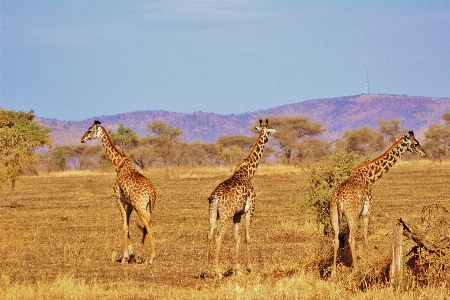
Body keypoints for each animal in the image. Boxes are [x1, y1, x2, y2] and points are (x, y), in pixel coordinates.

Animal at [80, 120, 156, 264]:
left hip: (139, 205)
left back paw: (151, 257)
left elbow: (124, 225)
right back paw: (140, 256)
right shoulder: (129, 203)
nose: (82, 139)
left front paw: (125, 257)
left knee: (147, 225)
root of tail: (151, 192)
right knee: (147, 225)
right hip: (149, 206)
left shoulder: (118, 198)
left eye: (90, 130)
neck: (118, 165)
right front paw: (131, 254)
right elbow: (127, 224)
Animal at [203, 118, 274, 278]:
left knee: (209, 233)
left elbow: (237, 237)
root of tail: (215, 197)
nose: (268, 139)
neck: (247, 173)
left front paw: (237, 269)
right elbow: (247, 236)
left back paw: (206, 269)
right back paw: (218, 272)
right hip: (225, 214)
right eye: (268, 132)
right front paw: (249, 268)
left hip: (213, 212)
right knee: (218, 235)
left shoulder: (237, 214)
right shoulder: (250, 208)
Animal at [328, 130, 428, 276]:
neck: (369, 177)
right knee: (351, 239)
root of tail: (338, 199)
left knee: (335, 239)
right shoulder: (367, 211)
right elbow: (365, 236)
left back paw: (333, 272)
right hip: (352, 215)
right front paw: (367, 264)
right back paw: (356, 269)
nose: (424, 153)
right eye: (416, 143)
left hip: (334, 215)